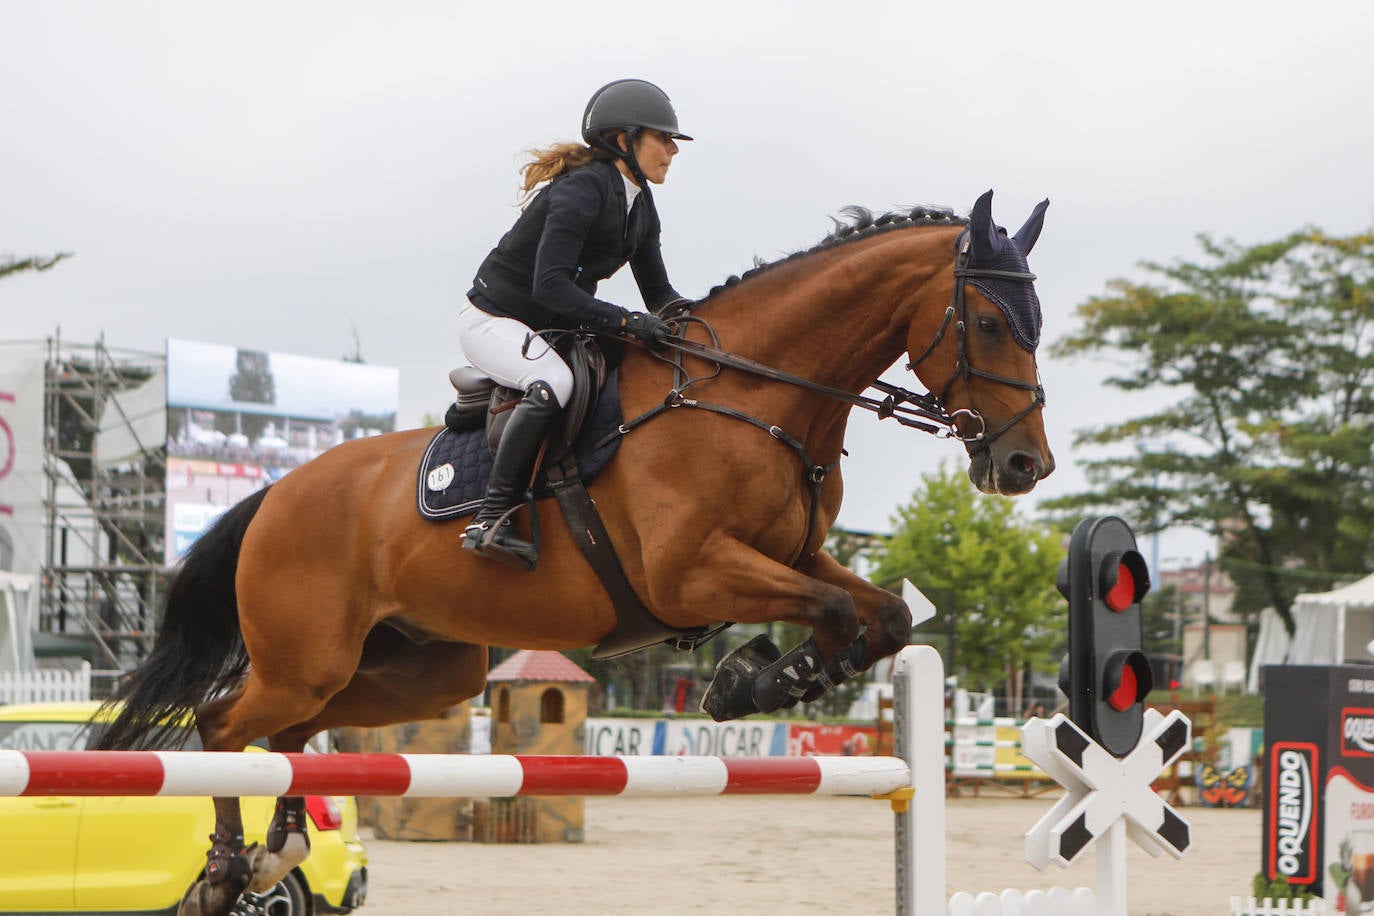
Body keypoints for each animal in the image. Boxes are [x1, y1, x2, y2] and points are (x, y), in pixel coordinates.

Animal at [95, 189, 1054, 916]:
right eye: (988, 322)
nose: (1024, 465)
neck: (756, 396)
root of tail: (275, 493)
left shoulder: (792, 553)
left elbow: (879, 615)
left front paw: (757, 679)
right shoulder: (689, 573)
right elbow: (833, 610)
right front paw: (756, 680)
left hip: (418, 669)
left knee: (290, 731)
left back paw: (280, 844)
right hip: (310, 656)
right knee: (223, 722)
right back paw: (227, 871)